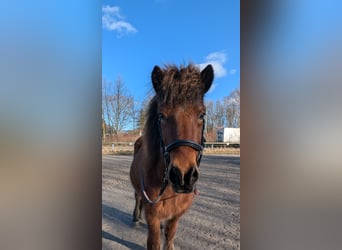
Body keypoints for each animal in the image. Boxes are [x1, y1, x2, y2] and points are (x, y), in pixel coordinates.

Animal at [129, 63, 212, 249]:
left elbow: (170, 236)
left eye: (202, 115)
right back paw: (135, 217)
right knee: (137, 197)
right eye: (161, 115)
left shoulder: (176, 215)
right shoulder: (152, 216)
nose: (183, 176)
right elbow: (154, 243)